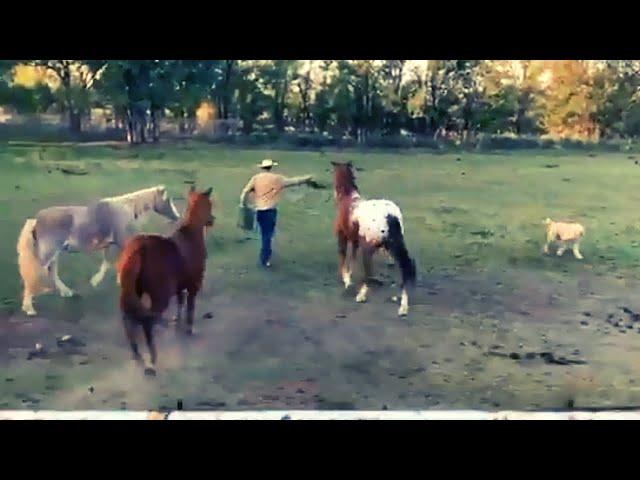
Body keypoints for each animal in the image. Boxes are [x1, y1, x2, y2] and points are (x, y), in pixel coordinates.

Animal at [115, 185, 215, 376]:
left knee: (127, 320)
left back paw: (136, 352)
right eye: (210, 204)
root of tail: (139, 248)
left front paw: (177, 320)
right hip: (160, 296)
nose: (212, 220)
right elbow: (190, 307)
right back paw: (152, 358)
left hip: (132, 292)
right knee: (147, 323)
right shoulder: (194, 284)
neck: (190, 233)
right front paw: (189, 328)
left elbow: (181, 302)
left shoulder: (180, 285)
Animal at [332, 161, 418, 316]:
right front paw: (349, 277)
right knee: (405, 268)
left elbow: (343, 258)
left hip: (370, 248)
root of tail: (390, 215)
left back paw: (361, 296)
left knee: (370, 273)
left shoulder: (342, 237)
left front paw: (346, 281)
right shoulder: (355, 241)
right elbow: (352, 260)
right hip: (393, 246)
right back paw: (403, 306)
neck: (348, 200)